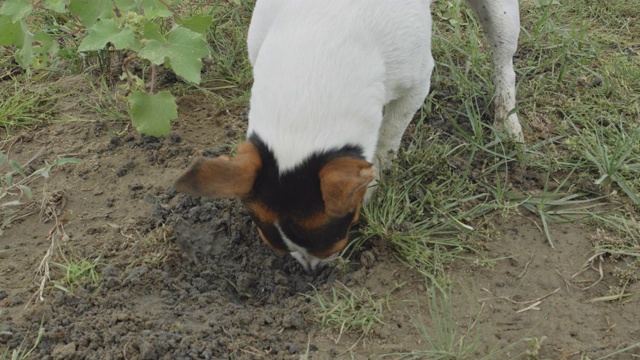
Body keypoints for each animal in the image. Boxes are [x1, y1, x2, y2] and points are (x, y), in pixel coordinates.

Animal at [174, 0, 520, 270]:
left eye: (348, 223)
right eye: (276, 247)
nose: (313, 272)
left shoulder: (417, 83)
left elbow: (387, 140)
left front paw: (375, 181)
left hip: (500, 15)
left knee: (504, 57)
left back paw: (507, 119)